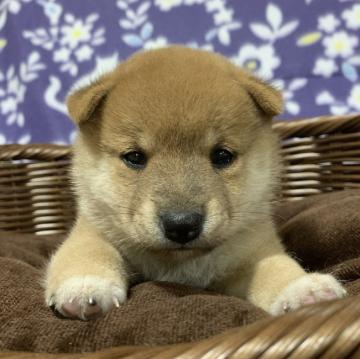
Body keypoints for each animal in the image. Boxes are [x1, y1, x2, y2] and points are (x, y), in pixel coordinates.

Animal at [45, 45, 346, 320]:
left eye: (222, 156)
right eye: (134, 157)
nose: (181, 224)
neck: (179, 265)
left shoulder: (252, 252)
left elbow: (275, 267)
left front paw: (304, 289)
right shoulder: (92, 230)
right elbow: (88, 253)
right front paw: (85, 287)